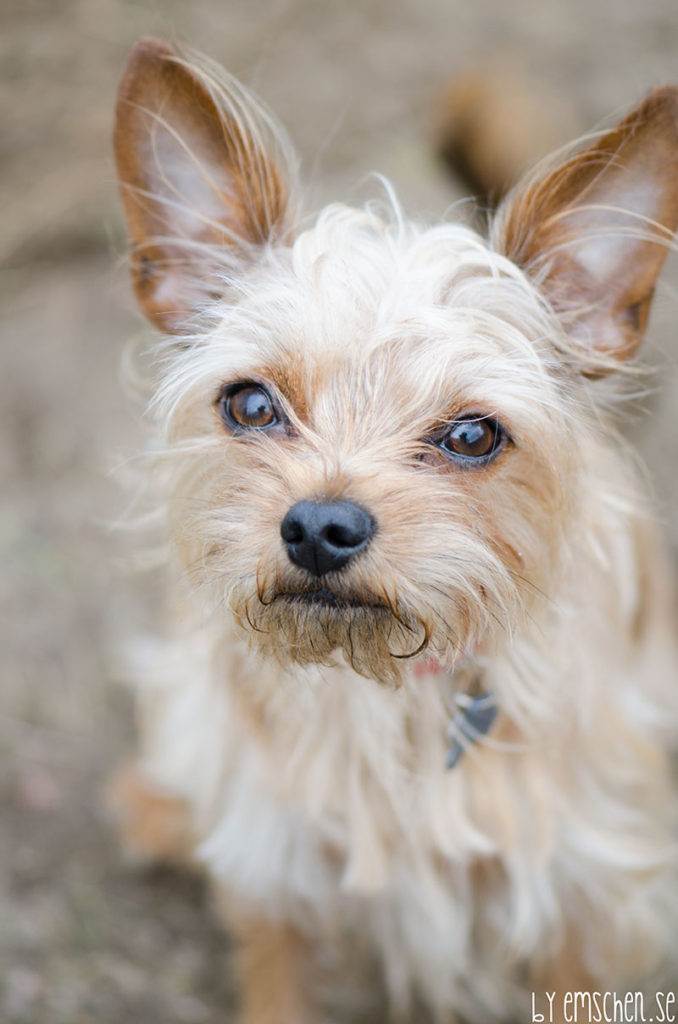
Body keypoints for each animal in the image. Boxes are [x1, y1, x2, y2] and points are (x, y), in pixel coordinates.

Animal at [111, 36, 678, 1019]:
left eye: (472, 435)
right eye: (251, 403)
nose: (320, 527)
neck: (382, 694)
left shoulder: (580, 892)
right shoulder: (276, 876)